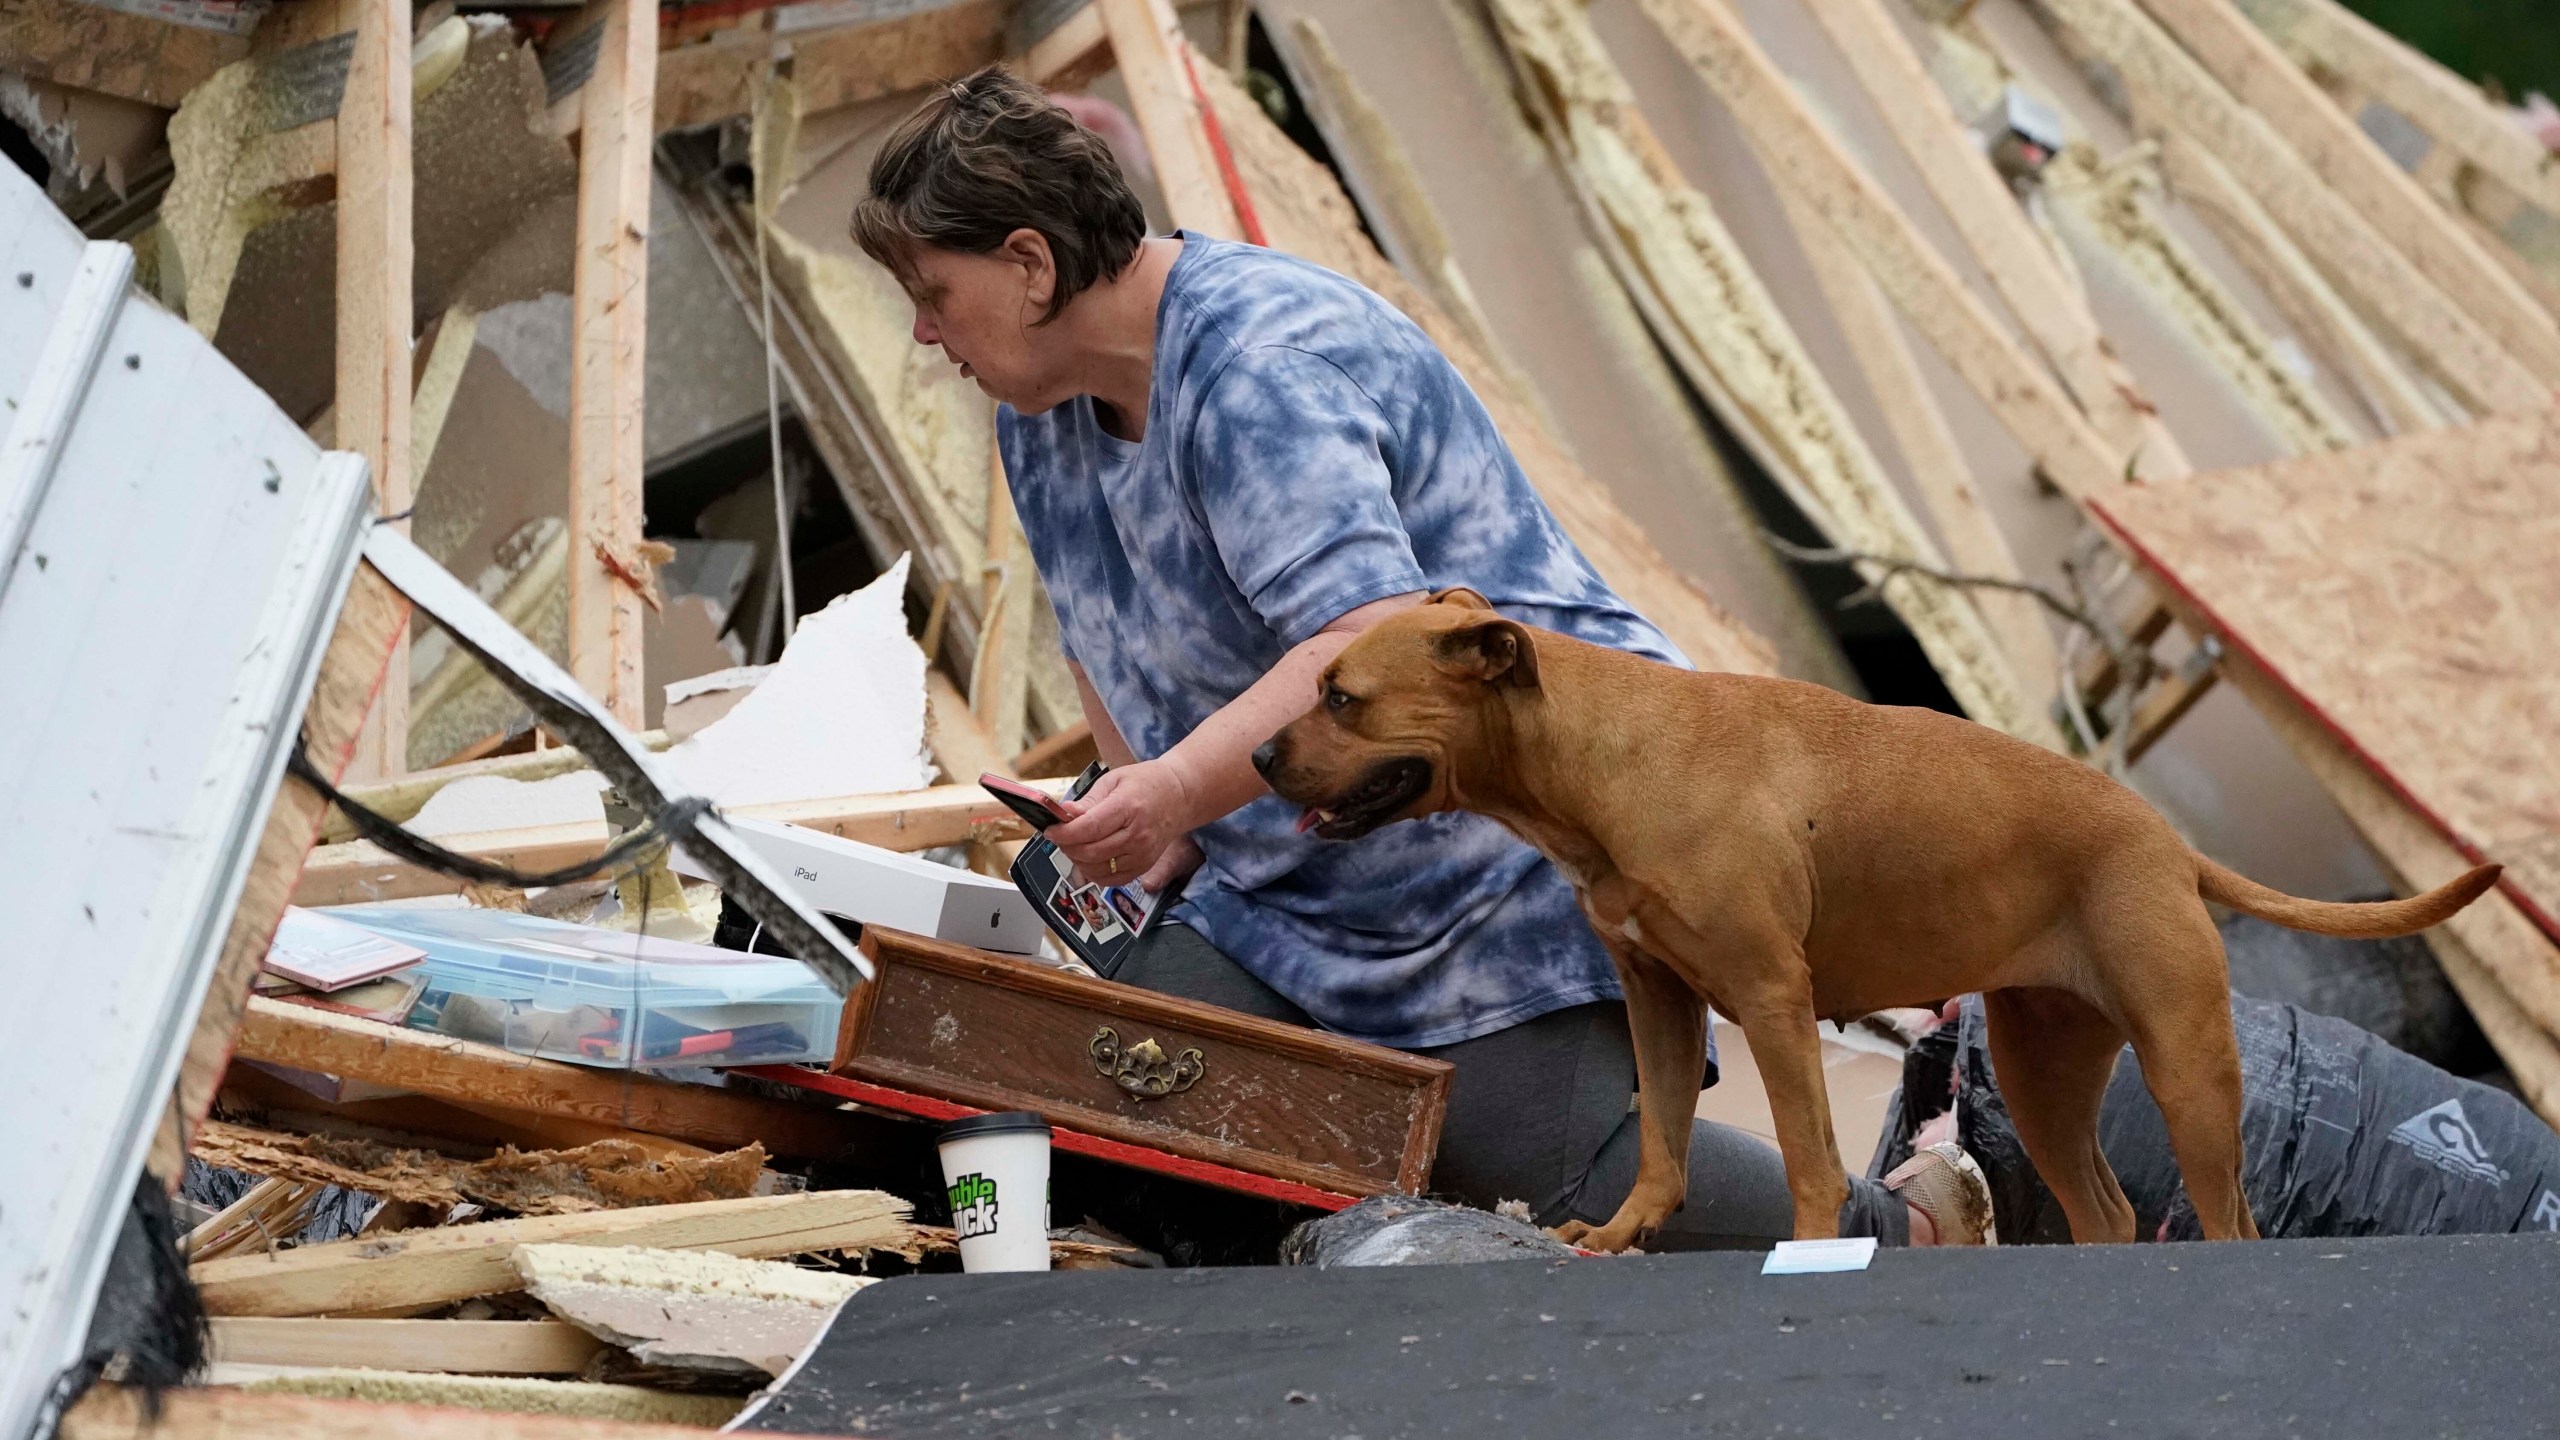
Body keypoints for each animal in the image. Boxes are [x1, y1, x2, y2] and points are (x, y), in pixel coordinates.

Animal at [1259, 586, 2498, 1245]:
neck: (1600, 756)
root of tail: (2167, 841)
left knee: (2226, 1223)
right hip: (2044, 1077)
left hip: (2187, 1074)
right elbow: (1659, 1147)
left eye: (1341, 697)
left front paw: (1807, 1256)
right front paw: (1614, 1239)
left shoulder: (1770, 1000)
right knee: (2105, 1213)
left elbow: (1810, 1163)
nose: (1261, 754)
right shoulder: (1661, 1001)